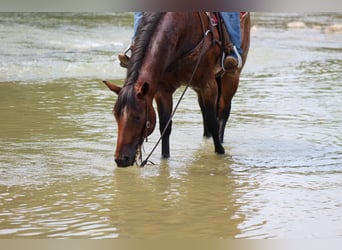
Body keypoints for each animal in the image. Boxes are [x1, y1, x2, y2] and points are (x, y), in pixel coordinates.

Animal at [103, 12, 250, 168]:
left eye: (137, 116)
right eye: (115, 115)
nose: (121, 159)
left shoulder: (208, 85)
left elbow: (213, 122)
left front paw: (220, 152)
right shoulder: (163, 90)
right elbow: (165, 127)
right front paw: (165, 157)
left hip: (231, 77)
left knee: (223, 112)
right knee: (204, 111)